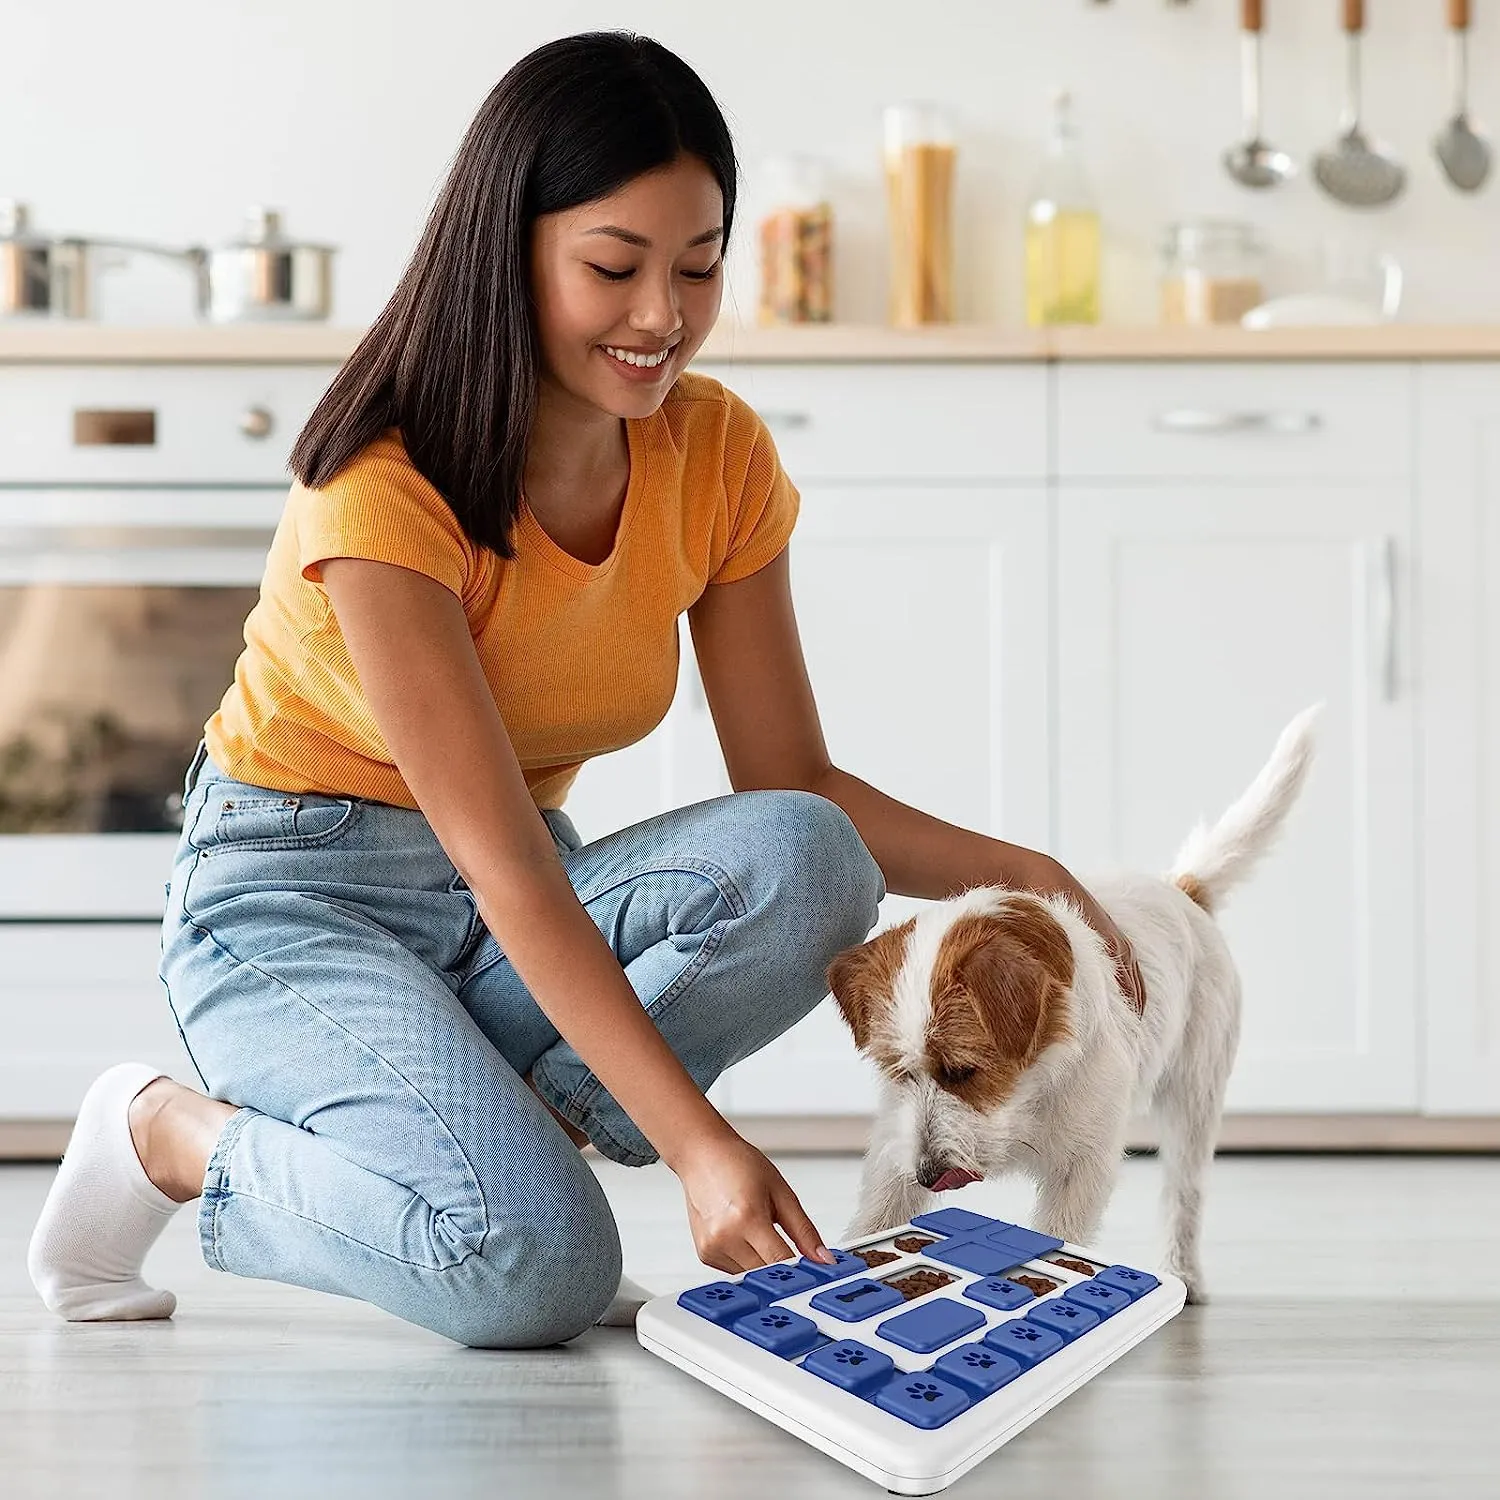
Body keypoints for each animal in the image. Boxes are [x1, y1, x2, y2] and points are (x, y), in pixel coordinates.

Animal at [828, 705, 1320, 1302]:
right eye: (897, 1072)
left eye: (963, 1071)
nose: (926, 1174)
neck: (1029, 1089)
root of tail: (1180, 889)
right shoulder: (896, 1142)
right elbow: (880, 1210)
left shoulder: (1081, 1169)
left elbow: (1060, 1237)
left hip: (1196, 1099)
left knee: (1184, 1191)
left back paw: (1183, 1273)